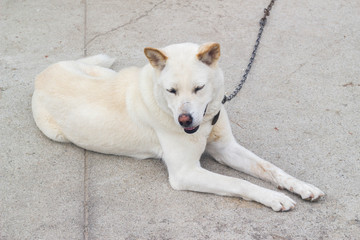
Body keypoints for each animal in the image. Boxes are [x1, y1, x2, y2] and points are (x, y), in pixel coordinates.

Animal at [32, 42, 324, 211]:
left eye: (199, 88)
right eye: (171, 90)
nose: (185, 120)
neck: (206, 120)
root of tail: (42, 73)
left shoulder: (227, 149)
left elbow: (272, 169)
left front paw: (301, 186)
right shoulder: (186, 173)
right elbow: (238, 182)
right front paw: (273, 197)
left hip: (106, 73)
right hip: (56, 133)